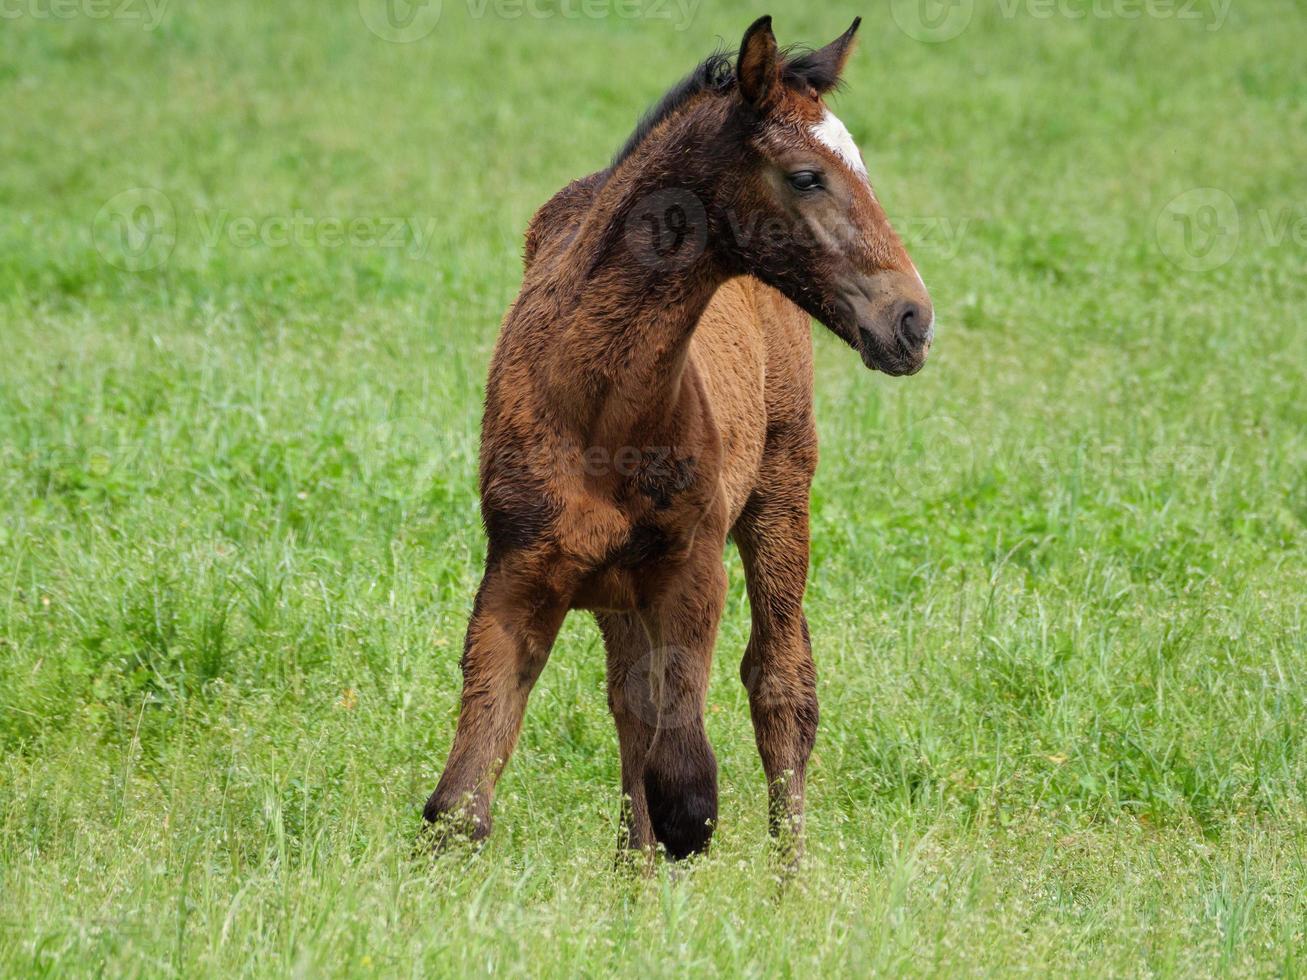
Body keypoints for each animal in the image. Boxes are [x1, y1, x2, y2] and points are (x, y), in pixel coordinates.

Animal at [423, 13, 935, 857]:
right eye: (805, 176)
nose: (911, 321)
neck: (601, 411)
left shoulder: (692, 571)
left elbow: (686, 797)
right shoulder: (519, 571)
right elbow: (459, 802)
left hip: (779, 493)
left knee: (781, 688)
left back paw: (790, 877)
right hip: (617, 588)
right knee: (631, 710)